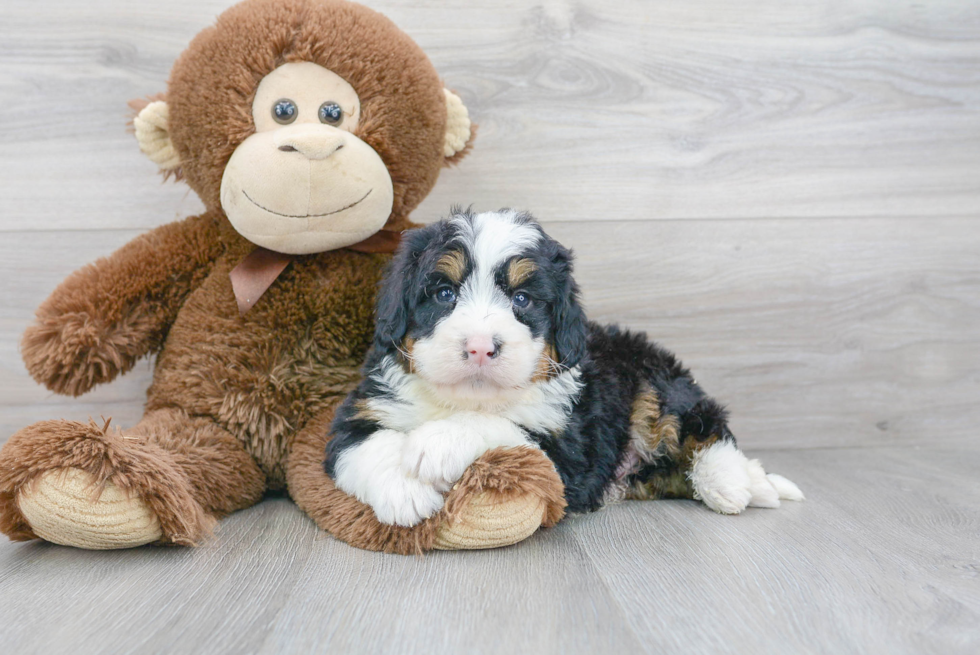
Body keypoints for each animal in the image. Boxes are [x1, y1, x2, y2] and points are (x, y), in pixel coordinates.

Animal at [326, 210, 800, 528]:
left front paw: (436, 443)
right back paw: (755, 483)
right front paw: (403, 491)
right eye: (444, 293)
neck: (464, 398)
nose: (480, 347)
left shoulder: (566, 448)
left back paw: (730, 483)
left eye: (522, 300)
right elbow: (362, 446)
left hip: (658, 382)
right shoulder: (361, 410)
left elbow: (498, 427)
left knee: (706, 426)